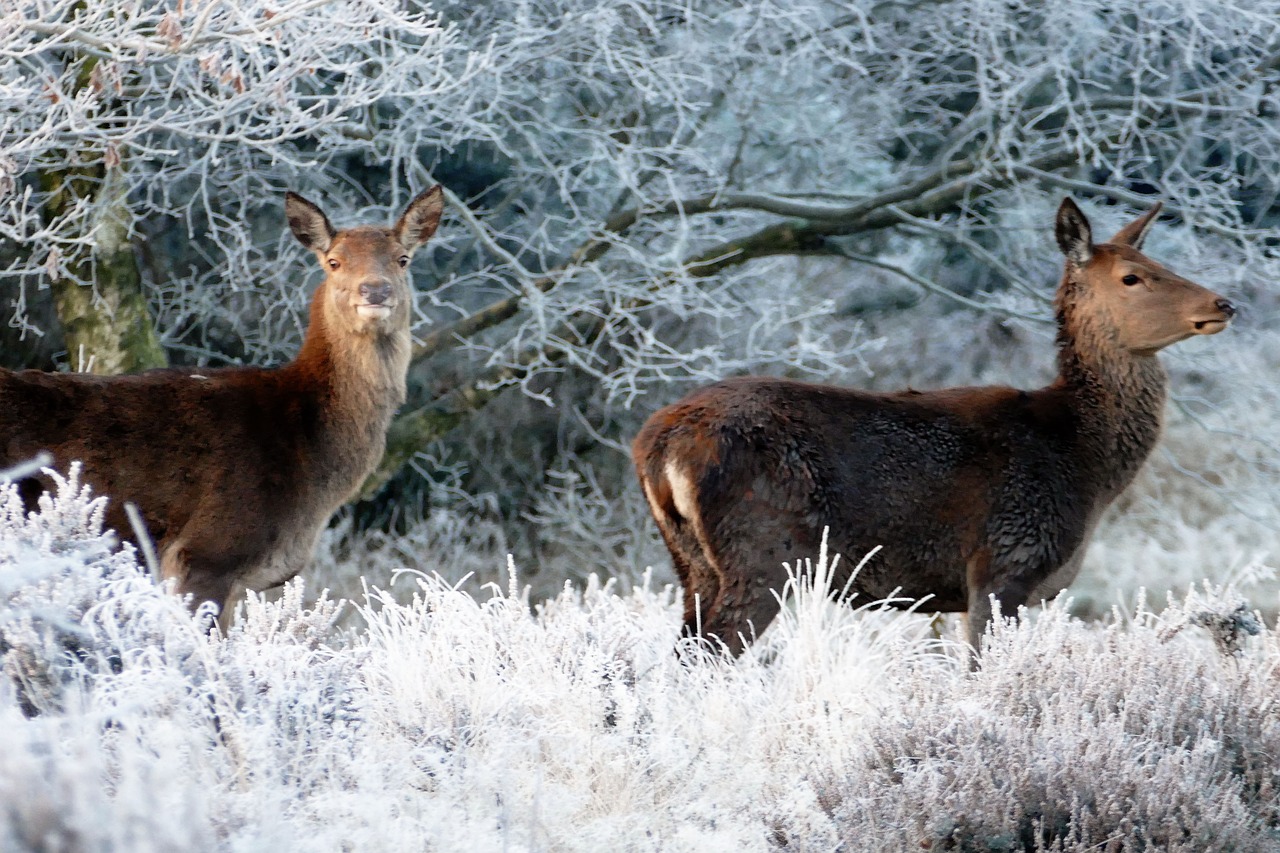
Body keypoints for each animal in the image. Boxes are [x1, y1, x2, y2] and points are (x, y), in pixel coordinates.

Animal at [634, 199, 1233, 655]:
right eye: (1132, 277)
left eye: (1157, 259)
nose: (1222, 302)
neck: (1085, 464)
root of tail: (657, 446)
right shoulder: (1002, 564)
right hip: (763, 552)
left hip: (692, 564)